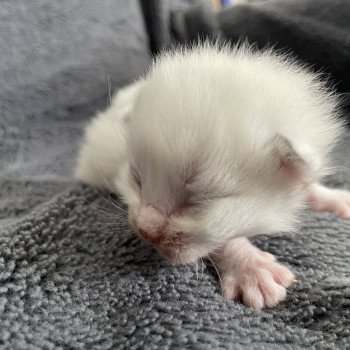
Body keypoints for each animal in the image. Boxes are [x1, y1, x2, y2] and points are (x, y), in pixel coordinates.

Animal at [76, 43, 350, 308]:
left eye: (198, 201)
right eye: (137, 179)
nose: (146, 231)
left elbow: (309, 184)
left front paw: (335, 198)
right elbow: (224, 241)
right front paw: (251, 270)